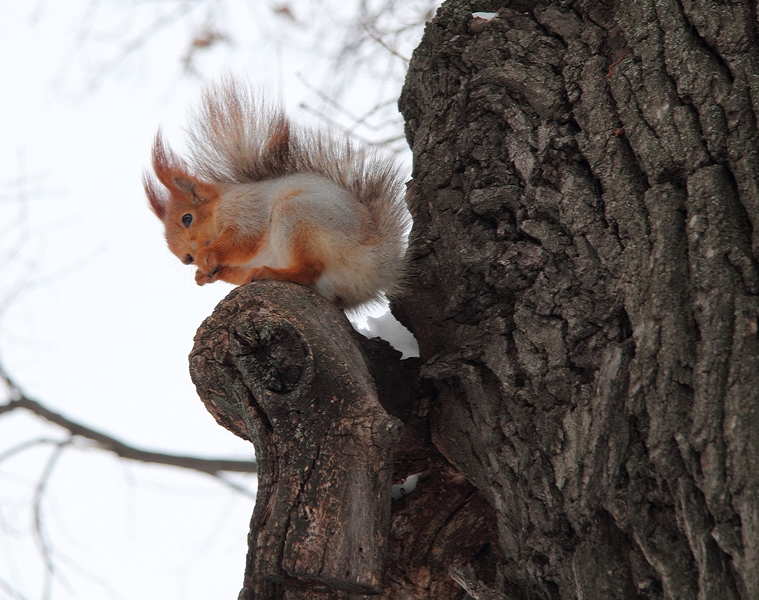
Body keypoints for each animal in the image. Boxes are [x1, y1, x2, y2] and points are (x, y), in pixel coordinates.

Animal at [143, 79, 410, 310]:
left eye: (187, 218)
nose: (187, 258)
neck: (220, 208)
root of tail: (377, 267)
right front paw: (203, 275)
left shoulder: (247, 210)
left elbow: (243, 239)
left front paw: (208, 255)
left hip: (300, 216)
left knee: (309, 269)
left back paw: (270, 272)